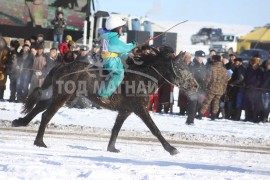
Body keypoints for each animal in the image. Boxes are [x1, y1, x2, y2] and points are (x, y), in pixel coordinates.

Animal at [12, 46, 198, 155]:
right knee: (46, 115)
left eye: (188, 67)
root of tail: (62, 65)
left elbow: (116, 129)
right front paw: (171, 148)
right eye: (181, 67)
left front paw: (112, 148)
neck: (142, 76)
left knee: (41, 104)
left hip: (66, 96)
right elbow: (154, 129)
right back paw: (39, 141)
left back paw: (20, 121)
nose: (196, 85)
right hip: (63, 96)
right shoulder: (140, 108)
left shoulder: (125, 110)